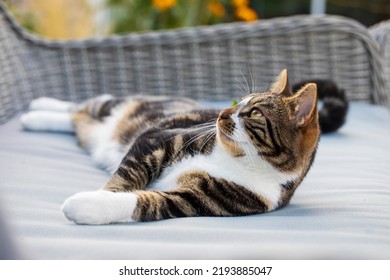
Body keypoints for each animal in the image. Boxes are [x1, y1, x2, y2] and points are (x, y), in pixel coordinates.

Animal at [19, 70, 346, 225]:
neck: (239, 159)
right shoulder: (159, 139)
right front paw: (100, 194)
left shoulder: (197, 199)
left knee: (79, 120)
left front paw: (86, 205)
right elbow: (127, 176)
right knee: (84, 106)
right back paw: (37, 109)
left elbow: (146, 203)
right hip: (124, 106)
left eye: (253, 113)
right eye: (238, 102)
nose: (221, 114)